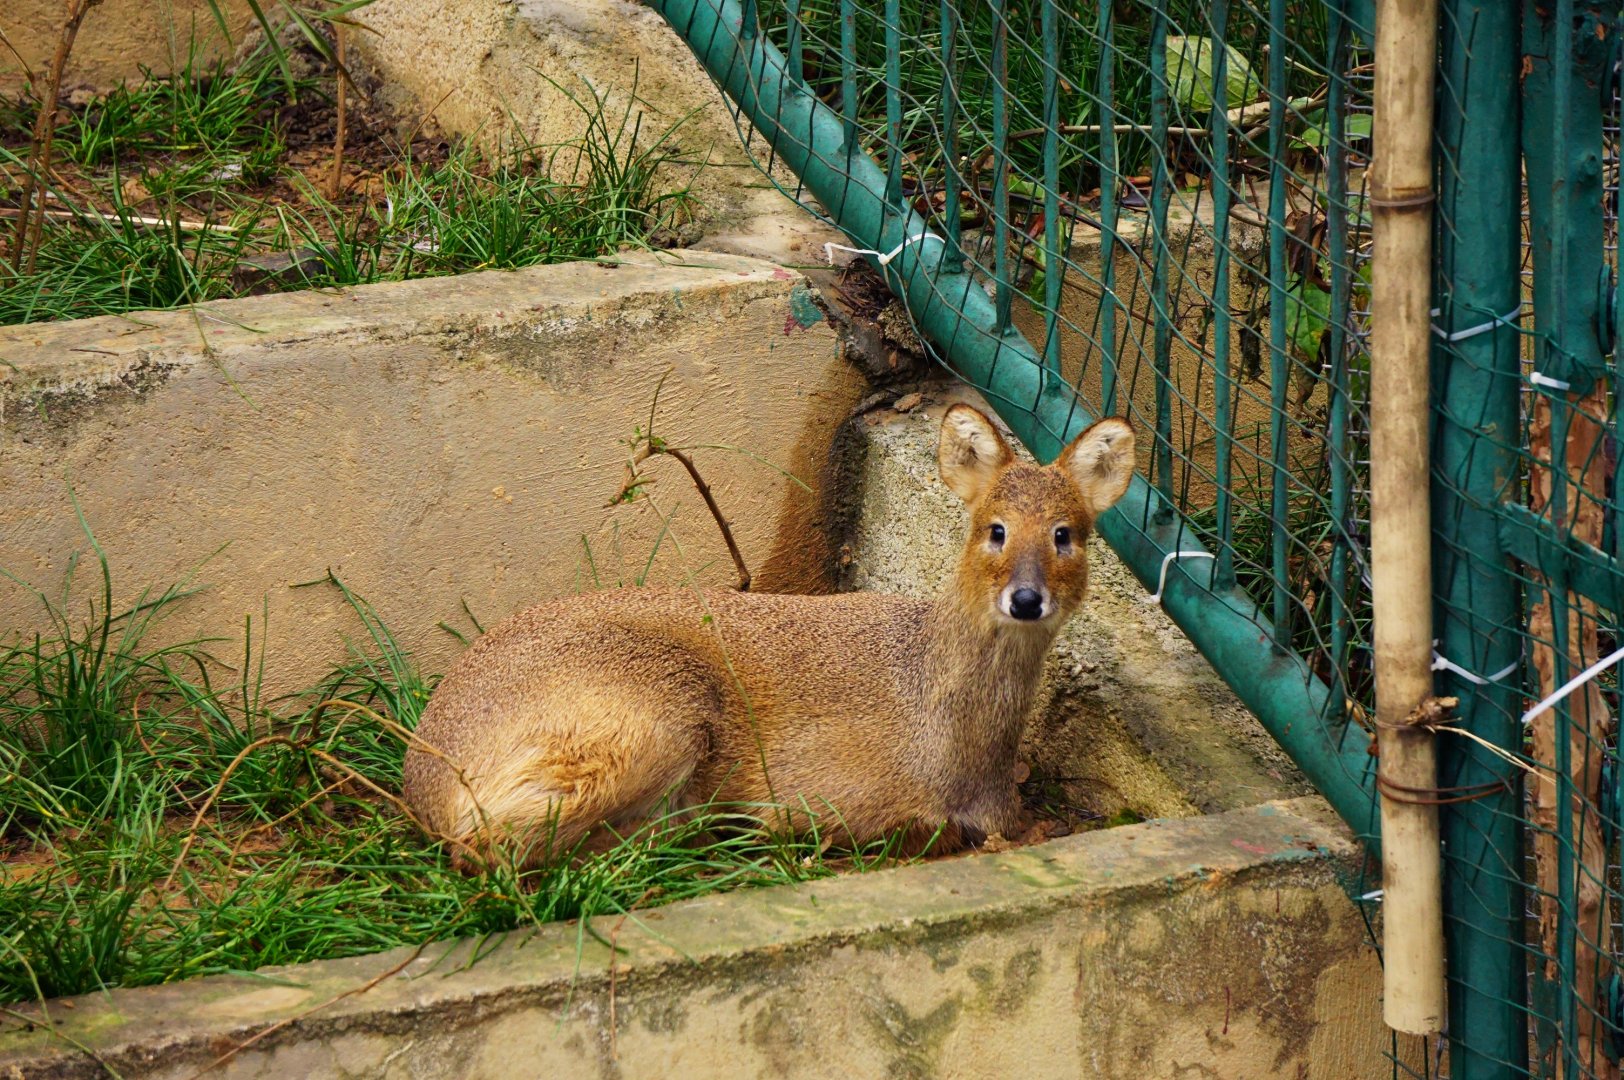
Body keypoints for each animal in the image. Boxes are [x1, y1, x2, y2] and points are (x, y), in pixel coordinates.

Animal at [402, 404, 1135, 868]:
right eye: (995, 529)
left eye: (1067, 534)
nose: (1027, 599)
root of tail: (426, 781)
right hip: (654, 711)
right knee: (498, 848)